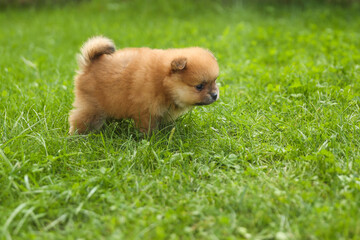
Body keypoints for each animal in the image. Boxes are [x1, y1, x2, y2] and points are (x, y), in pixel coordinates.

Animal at [68, 35, 219, 134]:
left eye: (214, 81)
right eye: (199, 86)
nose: (215, 95)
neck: (162, 83)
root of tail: (90, 63)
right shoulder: (146, 111)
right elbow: (148, 127)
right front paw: (152, 138)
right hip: (92, 107)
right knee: (80, 120)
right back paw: (77, 136)